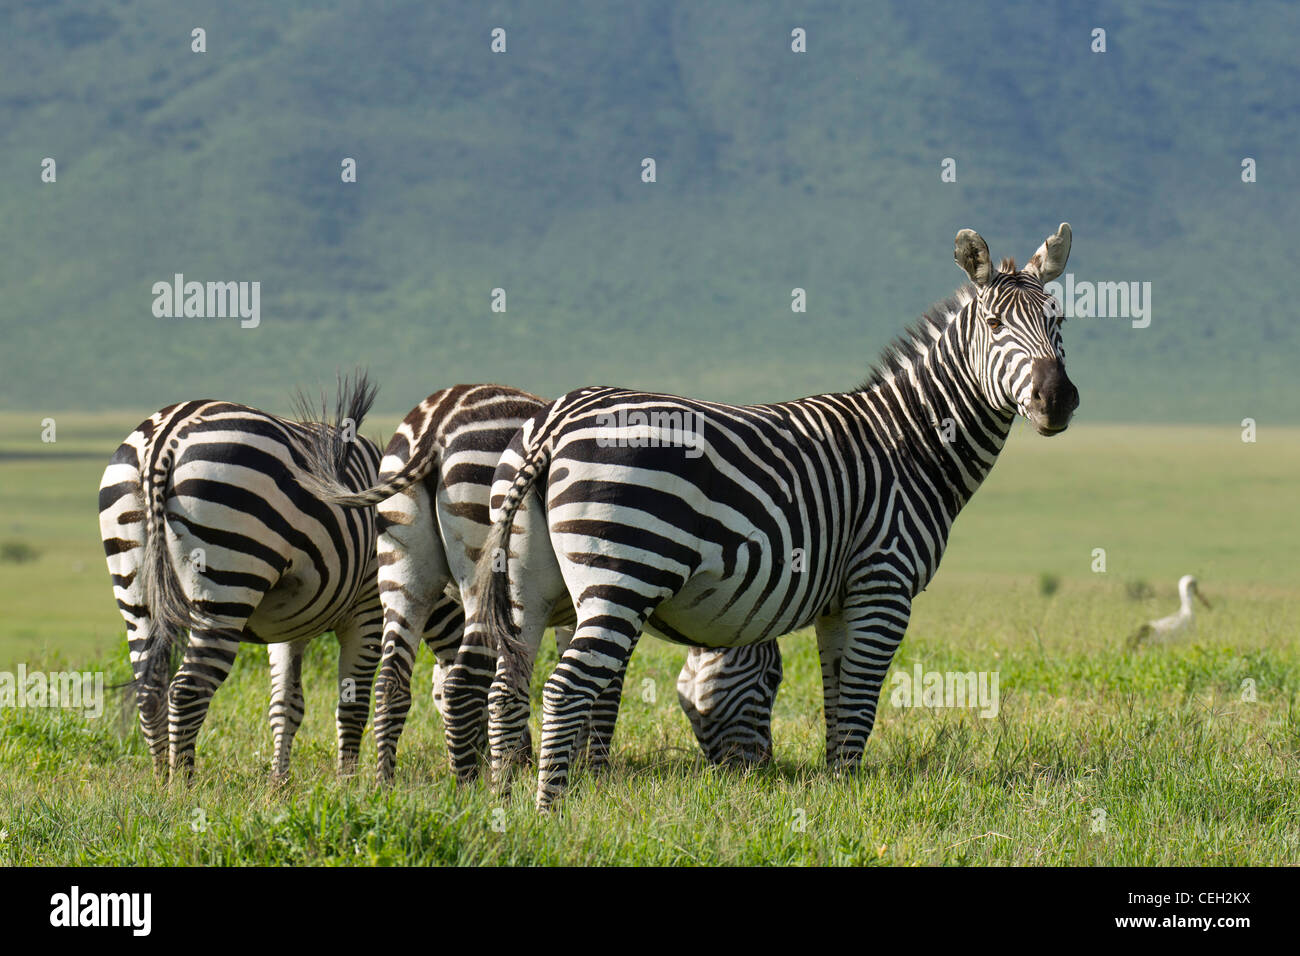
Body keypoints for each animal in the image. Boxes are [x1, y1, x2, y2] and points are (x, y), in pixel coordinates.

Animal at [98, 374, 387, 780]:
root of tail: (165, 435)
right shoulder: (367, 608)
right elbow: (353, 705)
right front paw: (349, 786)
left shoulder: (290, 620)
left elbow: (287, 705)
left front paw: (279, 785)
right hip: (226, 579)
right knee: (186, 690)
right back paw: (181, 788)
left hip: (133, 581)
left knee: (149, 687)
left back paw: (158, 781)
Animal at [295, 385, 780, 780]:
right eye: (772, 680)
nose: (760, 770)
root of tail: (437, 423)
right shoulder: (613, 595)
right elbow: (605, 688)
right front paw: (593, 770)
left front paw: (554, 761)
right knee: (454, 683)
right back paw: (465, 784)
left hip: (404, 566)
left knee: (392, 682)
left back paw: (385, 783)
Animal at [475, 227, 1076, 811]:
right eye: (995, 325)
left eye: (1059, 322)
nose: (1058, 399)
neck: (913, 441)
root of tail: (557, 418)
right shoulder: (884, 584)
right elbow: (860, 701)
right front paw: (850, 808)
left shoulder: (840, 602)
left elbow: (839, 702)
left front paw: (838, 793)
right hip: (622, 577)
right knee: (565, 688)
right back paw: (549, 813)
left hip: (527, 584)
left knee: (507, 686)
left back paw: (504, 807)